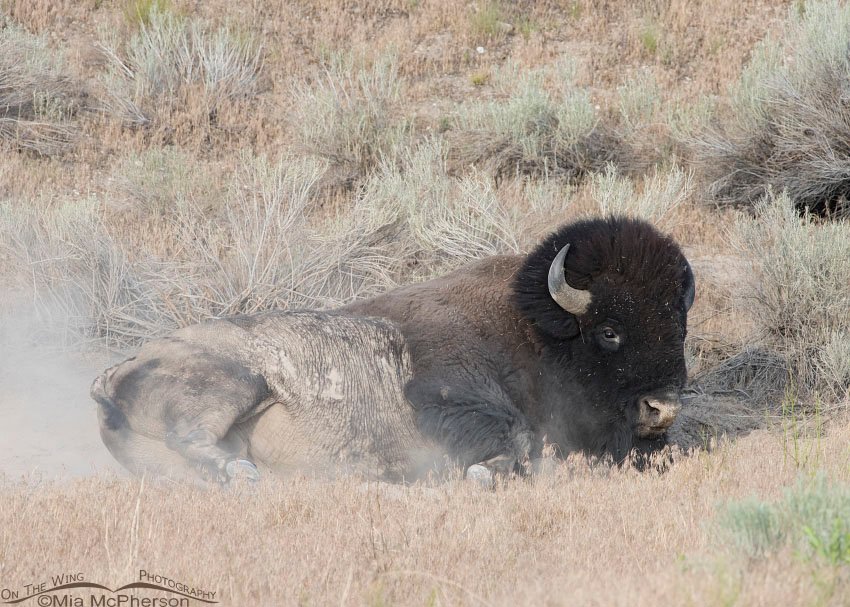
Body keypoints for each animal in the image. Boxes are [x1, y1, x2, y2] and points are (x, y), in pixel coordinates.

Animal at [91, 216, 695, 483]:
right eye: (609, 331)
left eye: (679, 323)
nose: (662, 409)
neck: (533, 331)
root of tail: (116, 371)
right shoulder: (453, 397)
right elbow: (516, 440)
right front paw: (486, 472)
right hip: (234, 383)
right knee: (194, 435)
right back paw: (241, 474)